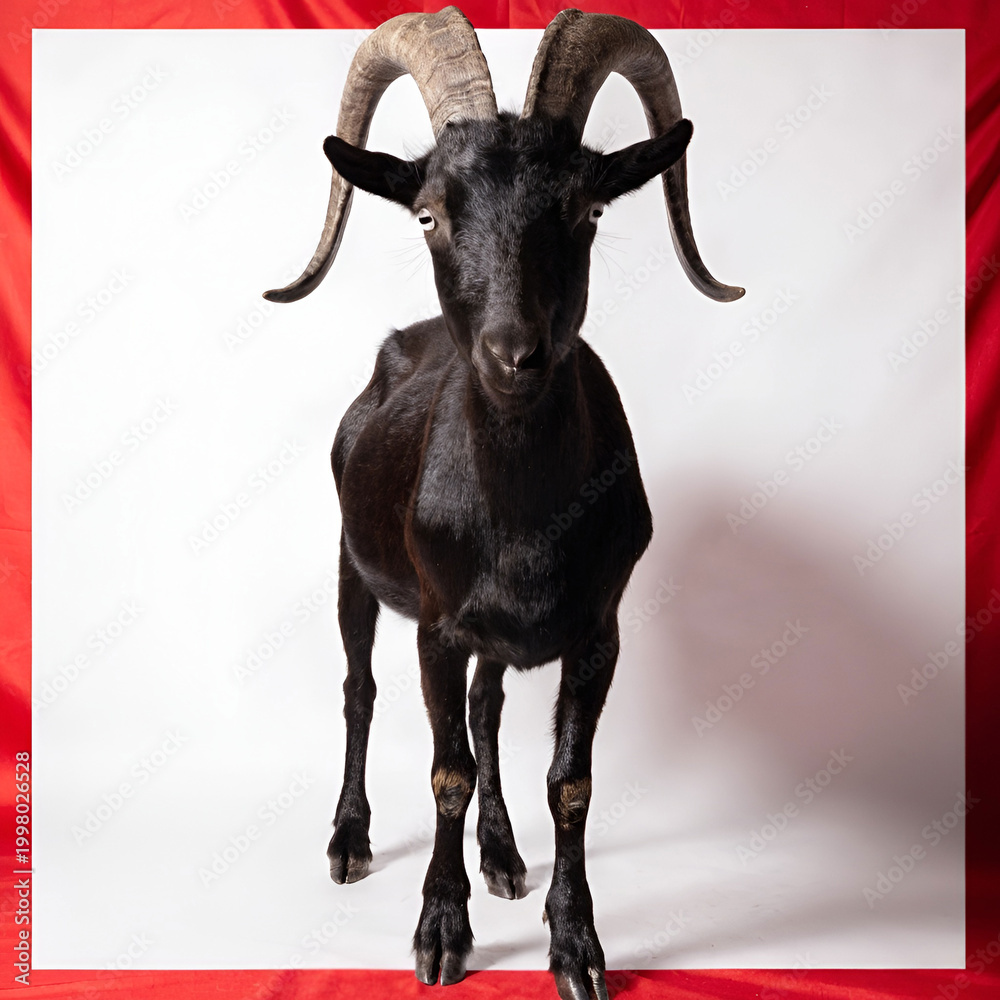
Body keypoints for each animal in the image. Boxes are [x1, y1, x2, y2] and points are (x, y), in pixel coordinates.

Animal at [264, 8, 742, 999]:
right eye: (429, 213)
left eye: (587, 210)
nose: (514, 353)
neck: (522, 517)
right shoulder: (437, 626)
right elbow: (444, 768)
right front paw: (441, 933)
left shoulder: (599, 630)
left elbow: (570, 782)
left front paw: (577, 946)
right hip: (352, 569)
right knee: (360, 689)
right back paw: (350, 839)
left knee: (487, 710)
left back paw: (503, 853)